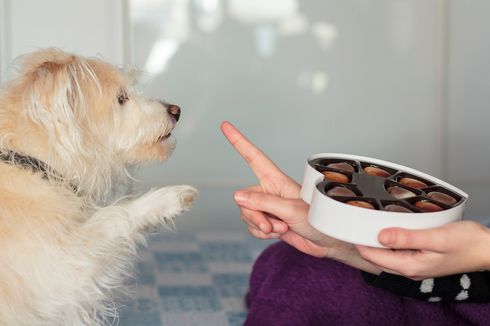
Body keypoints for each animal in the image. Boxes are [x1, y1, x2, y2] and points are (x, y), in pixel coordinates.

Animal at [0, 49, 197, 326]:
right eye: (121, 99)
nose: (176, 110)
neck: (33, 163)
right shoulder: (60, 270)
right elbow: (113, 216)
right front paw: (168, 198)